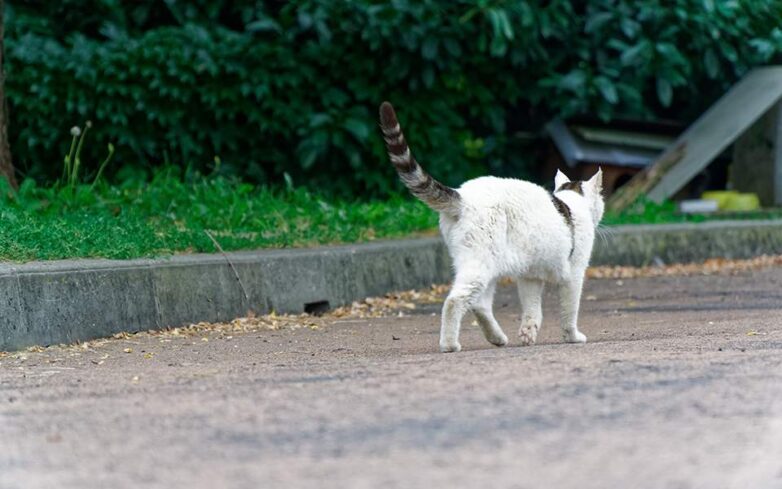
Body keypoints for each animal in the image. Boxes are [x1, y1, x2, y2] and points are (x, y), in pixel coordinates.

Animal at [380, 101, 608, 350]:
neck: (572, 202)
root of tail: (463, 196)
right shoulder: (574, 274)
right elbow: (569, 311)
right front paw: (573, 336)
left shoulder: (530, 277)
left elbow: (532, 308)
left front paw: (528, 333)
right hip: (482, 263)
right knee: (455, 301)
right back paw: (450, 344)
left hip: (483, 265)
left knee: (479, 304)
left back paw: (496, 337)